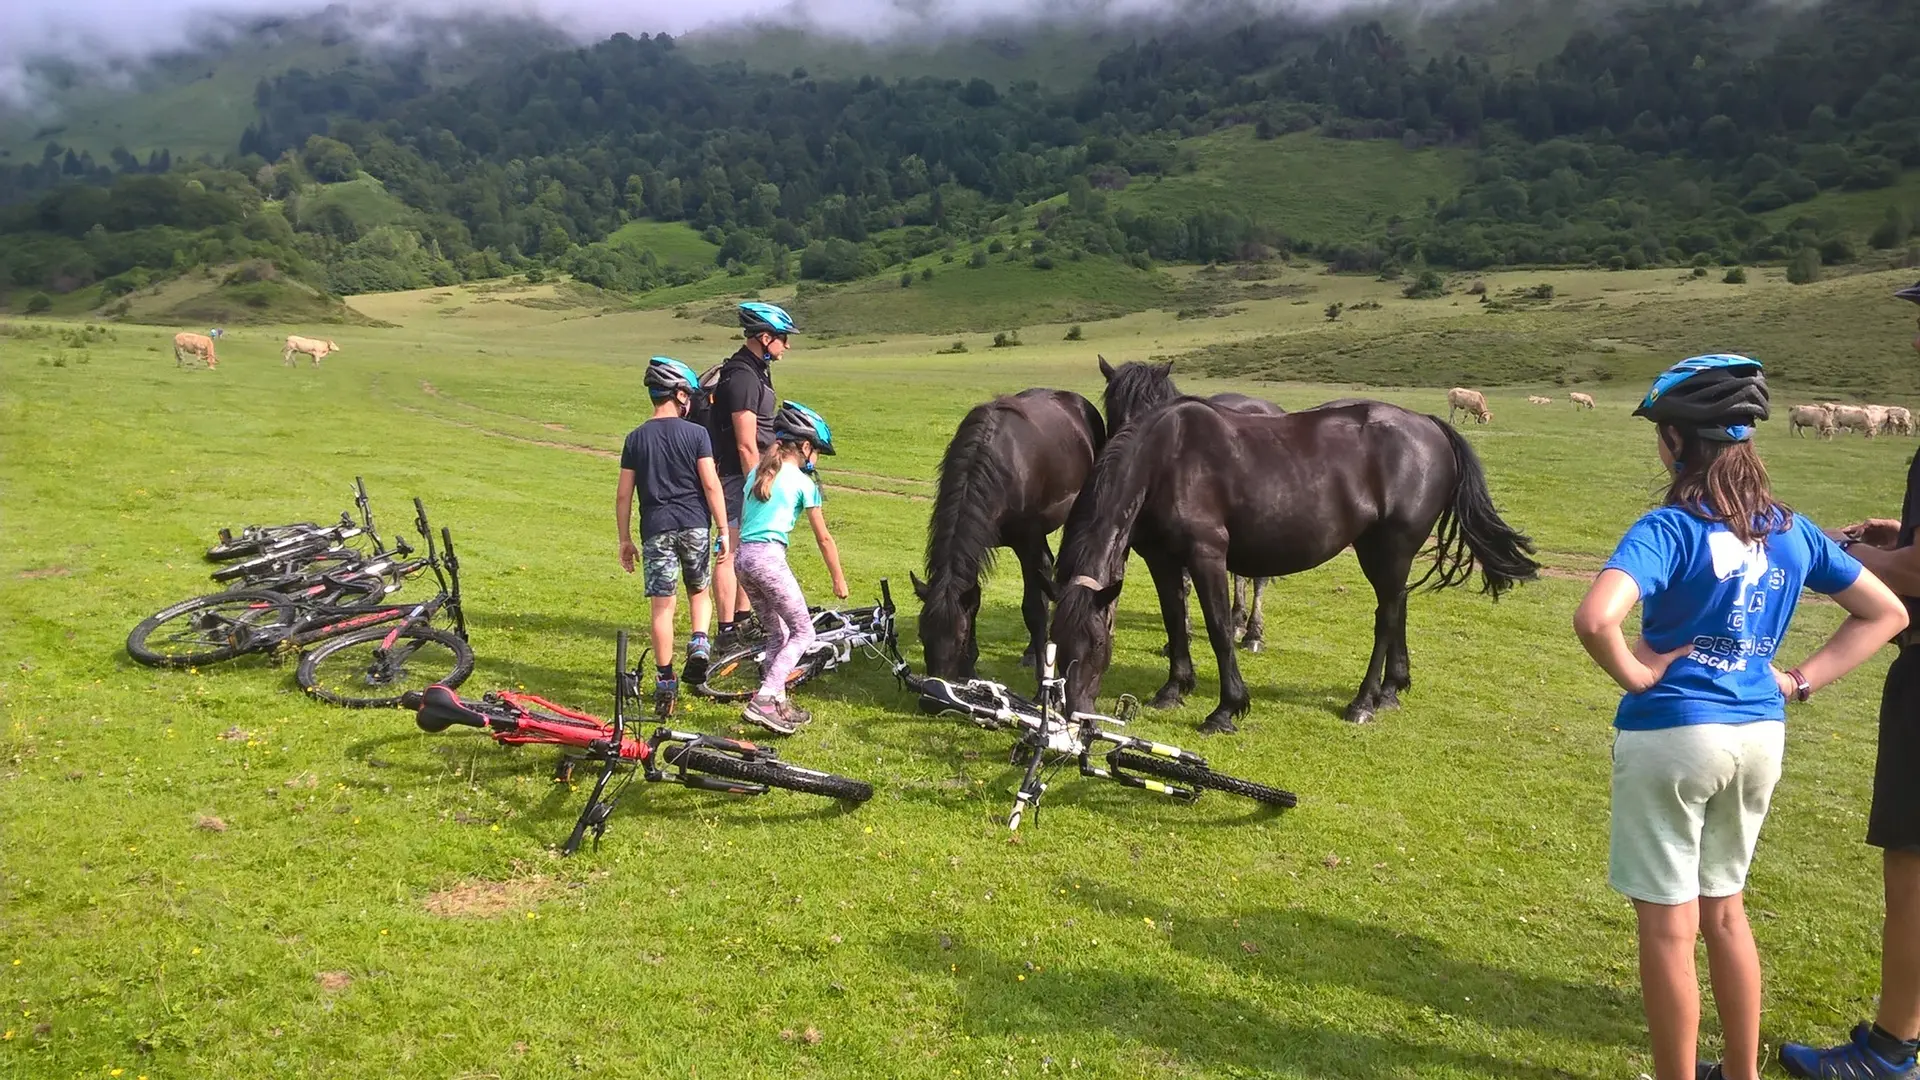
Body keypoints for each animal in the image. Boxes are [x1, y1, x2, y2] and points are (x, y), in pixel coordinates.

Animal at [910, 386, 1105, 672]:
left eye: (959, 637)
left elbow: (1033, 609)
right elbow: (975, 598)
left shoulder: (1028, 541)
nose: (937, 679)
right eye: (922, 635)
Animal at [1044, 395, 1536, 730]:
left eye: (1096, 645)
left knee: (1386, 617)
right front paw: (1173, 689)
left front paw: (1227, 708)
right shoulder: (1162, 559)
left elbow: (1219, 629)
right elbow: (1174, 620)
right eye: (1055, 645)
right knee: (1398, 608)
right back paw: (1391, 690)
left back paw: (1363, 702)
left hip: (1388, 549)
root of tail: (1431, 426)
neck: (1165, 459)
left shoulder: (1207, 555)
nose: (1076, 716)